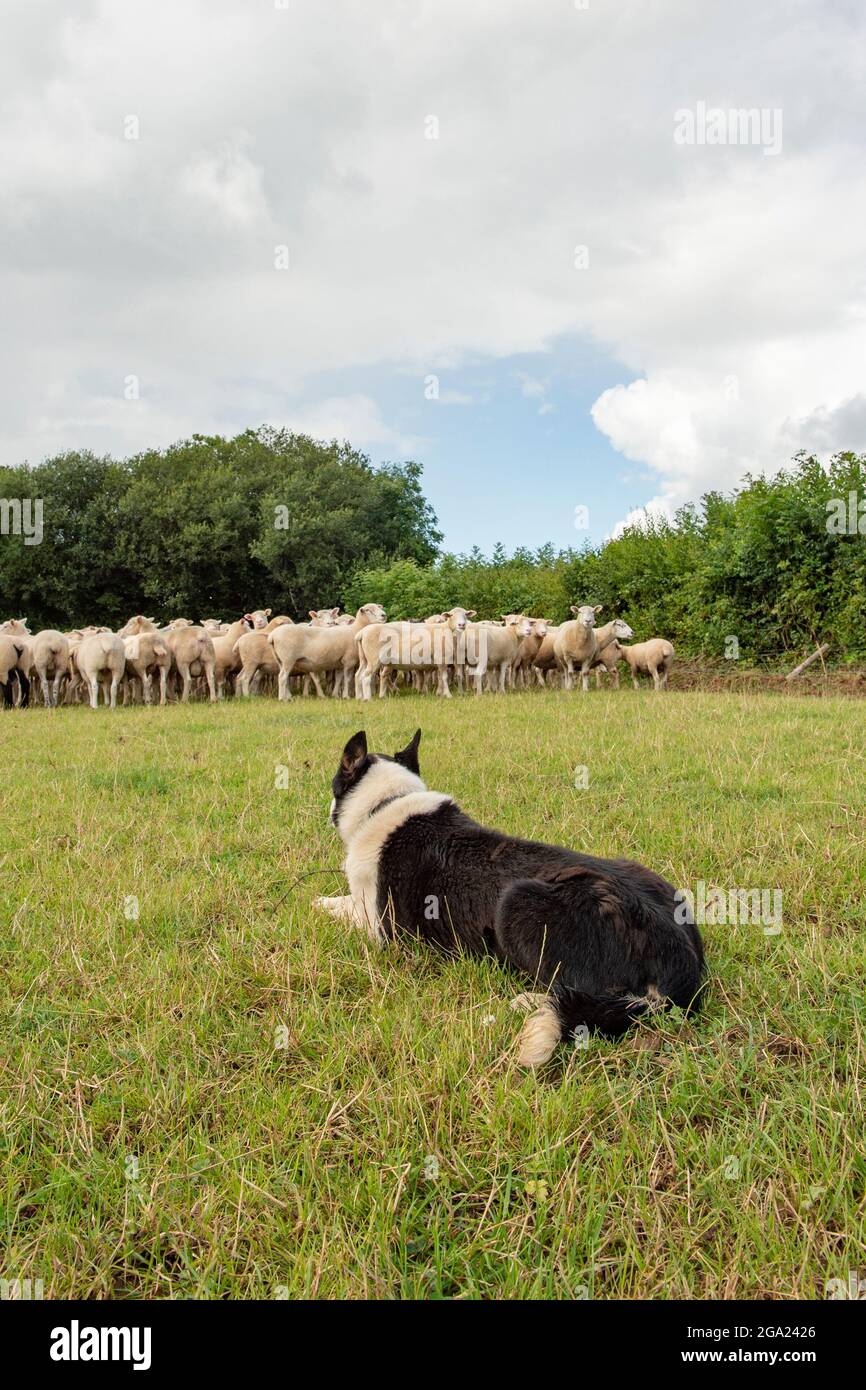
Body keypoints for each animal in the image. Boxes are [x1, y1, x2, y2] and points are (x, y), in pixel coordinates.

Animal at [315, 728, 708, 1061]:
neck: (385, 803)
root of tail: (682, 966)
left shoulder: (380, 928)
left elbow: (336, 906)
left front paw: (318, 903)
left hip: (517, 901)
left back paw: (527, 1003)